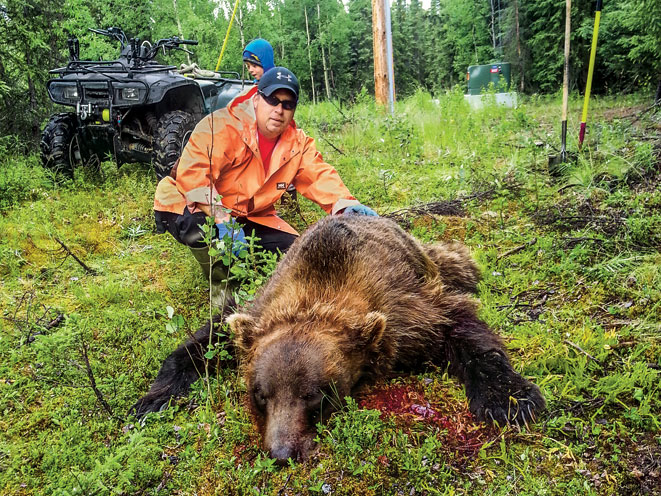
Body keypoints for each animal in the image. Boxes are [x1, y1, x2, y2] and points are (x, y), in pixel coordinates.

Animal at [131, 215, 545, 463]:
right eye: (259, 394)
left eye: (315, 396)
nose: (281, 453)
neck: (322, 286)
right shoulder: (261, 307)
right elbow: (205, 339)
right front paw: (152, 400)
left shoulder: (407, 313)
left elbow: (462, 327)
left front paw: (511, 400)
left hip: (431, 263)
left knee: (458, 263)